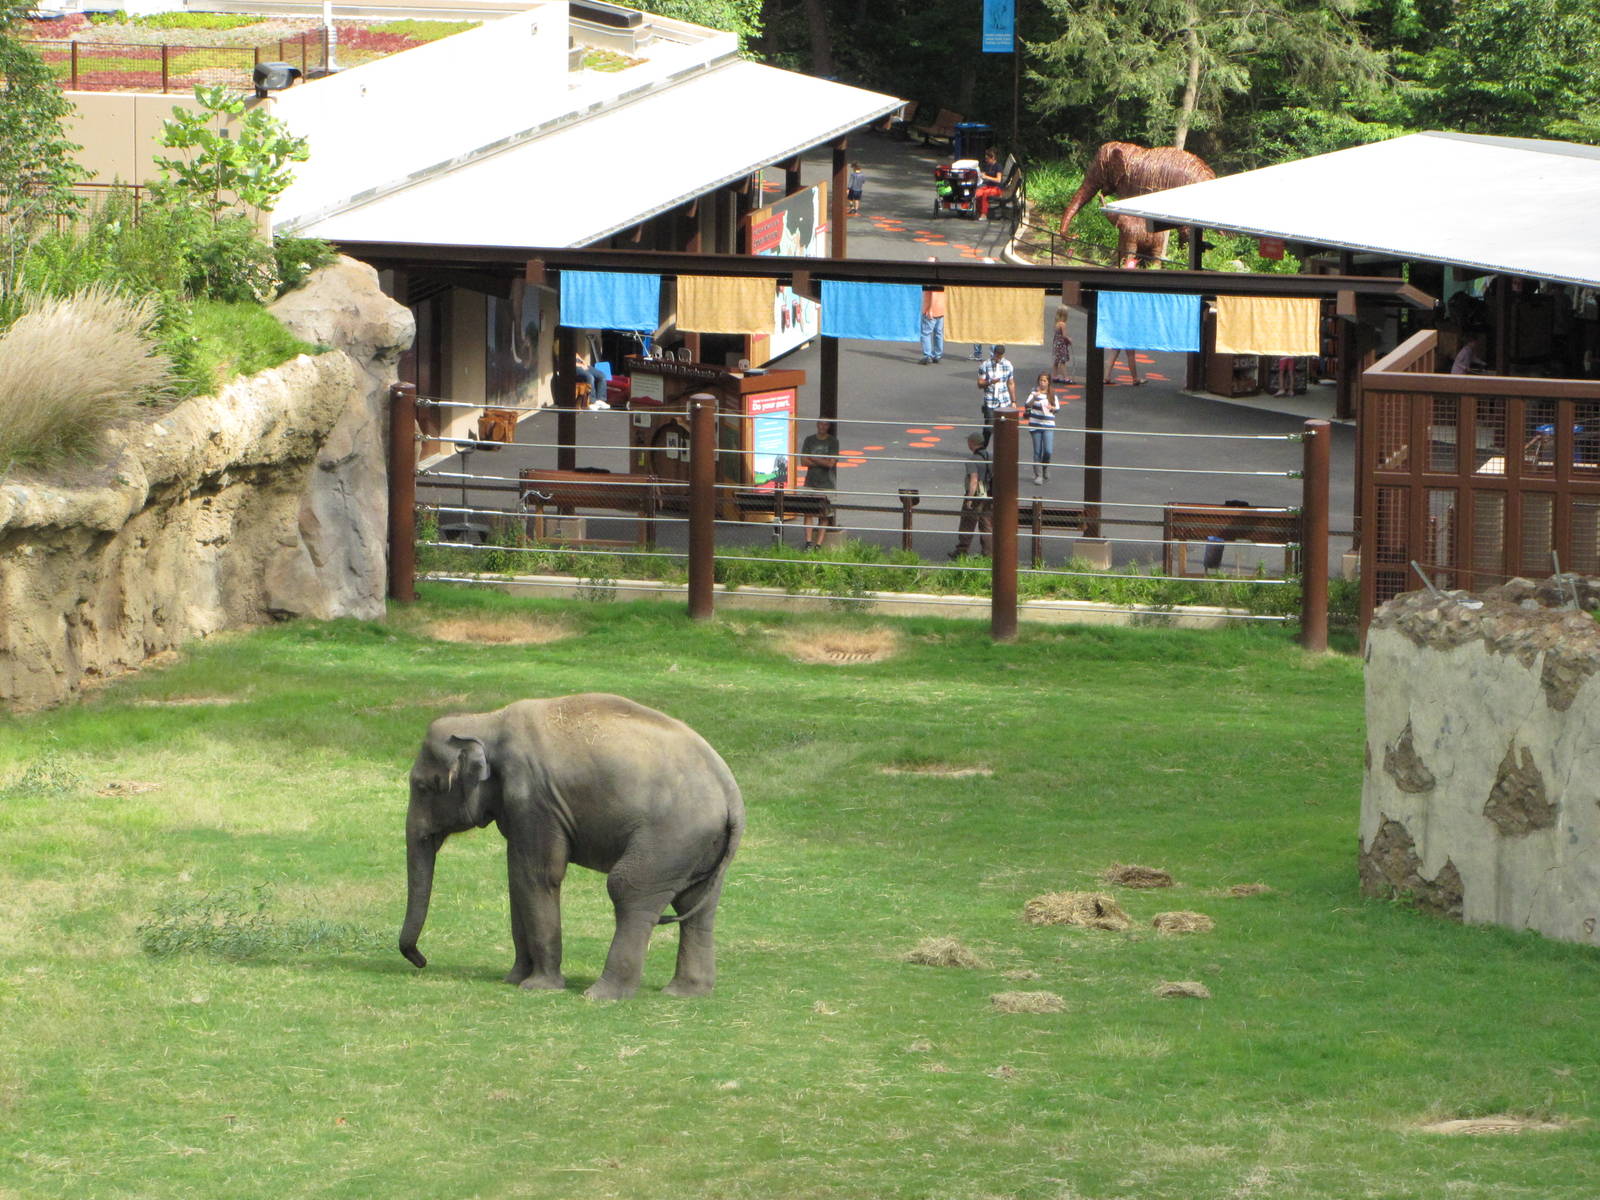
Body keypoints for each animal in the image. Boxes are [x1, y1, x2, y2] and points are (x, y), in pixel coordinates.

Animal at [399, 693, 744, 1001]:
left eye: (425, 786)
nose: (421, 961)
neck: (487, 721)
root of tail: (731, 795)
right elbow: (517, 877)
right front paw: (513, 979)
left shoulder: (534, 798)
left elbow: (538, 875)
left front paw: (537, 986)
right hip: (701, 847)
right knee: (696, 905)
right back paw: (685, 992)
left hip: (671, 837)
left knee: (628, 889)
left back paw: (602, 995)